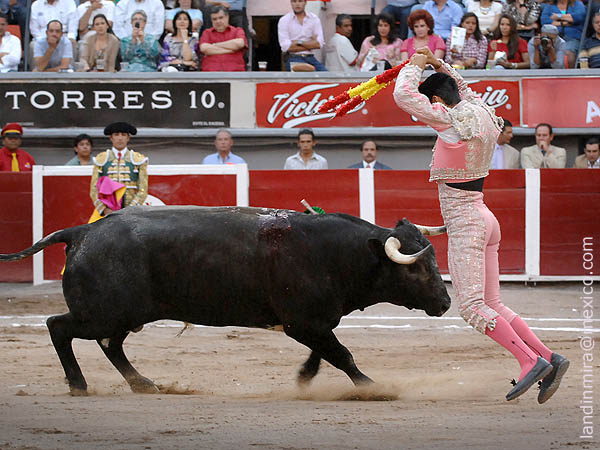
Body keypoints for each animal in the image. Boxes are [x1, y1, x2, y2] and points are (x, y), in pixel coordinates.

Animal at [0, 206, 450, 396]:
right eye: (415, 269)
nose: (446, 303)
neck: (335, 253)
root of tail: (80, 231)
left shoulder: (313, 322)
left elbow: (325, 352)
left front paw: (304, 378)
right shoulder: (303, 322)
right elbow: (342, 355)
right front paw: (374, 387)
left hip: (123, 315)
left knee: (111, 346)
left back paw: (143, 383)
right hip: (103, 313)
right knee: (59, 327)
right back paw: (79, 385)